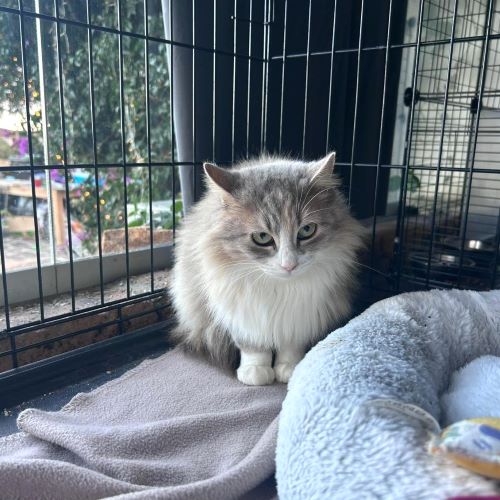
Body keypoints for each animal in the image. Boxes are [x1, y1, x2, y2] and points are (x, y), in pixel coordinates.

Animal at [170, 152, 365, 385]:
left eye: (307, 230)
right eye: (262, 237)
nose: (289, 265)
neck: (280, 288)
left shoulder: (301, 318)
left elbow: (291, 346)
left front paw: (289, 368)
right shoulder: (243, 314)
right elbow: (253, 348)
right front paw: (255, 372)